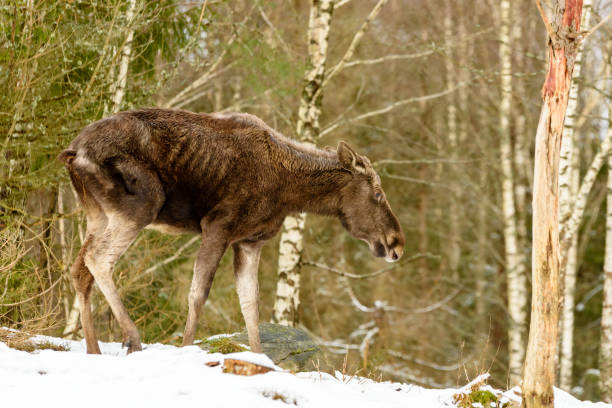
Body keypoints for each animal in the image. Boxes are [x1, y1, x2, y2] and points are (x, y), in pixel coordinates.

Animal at [58, 108, 406, 354]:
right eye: (378, 193)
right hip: (142, 204)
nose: (397, 243)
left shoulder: (250, 241)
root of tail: (72, 153)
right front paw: (186, 348)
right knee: (98, 259)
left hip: (98, 215)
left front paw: (259, 357)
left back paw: (93, 349)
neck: (290, 192)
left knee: (79, 268)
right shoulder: (218, 226)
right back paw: (131, 337)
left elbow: (251, 304)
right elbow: (198, 294)